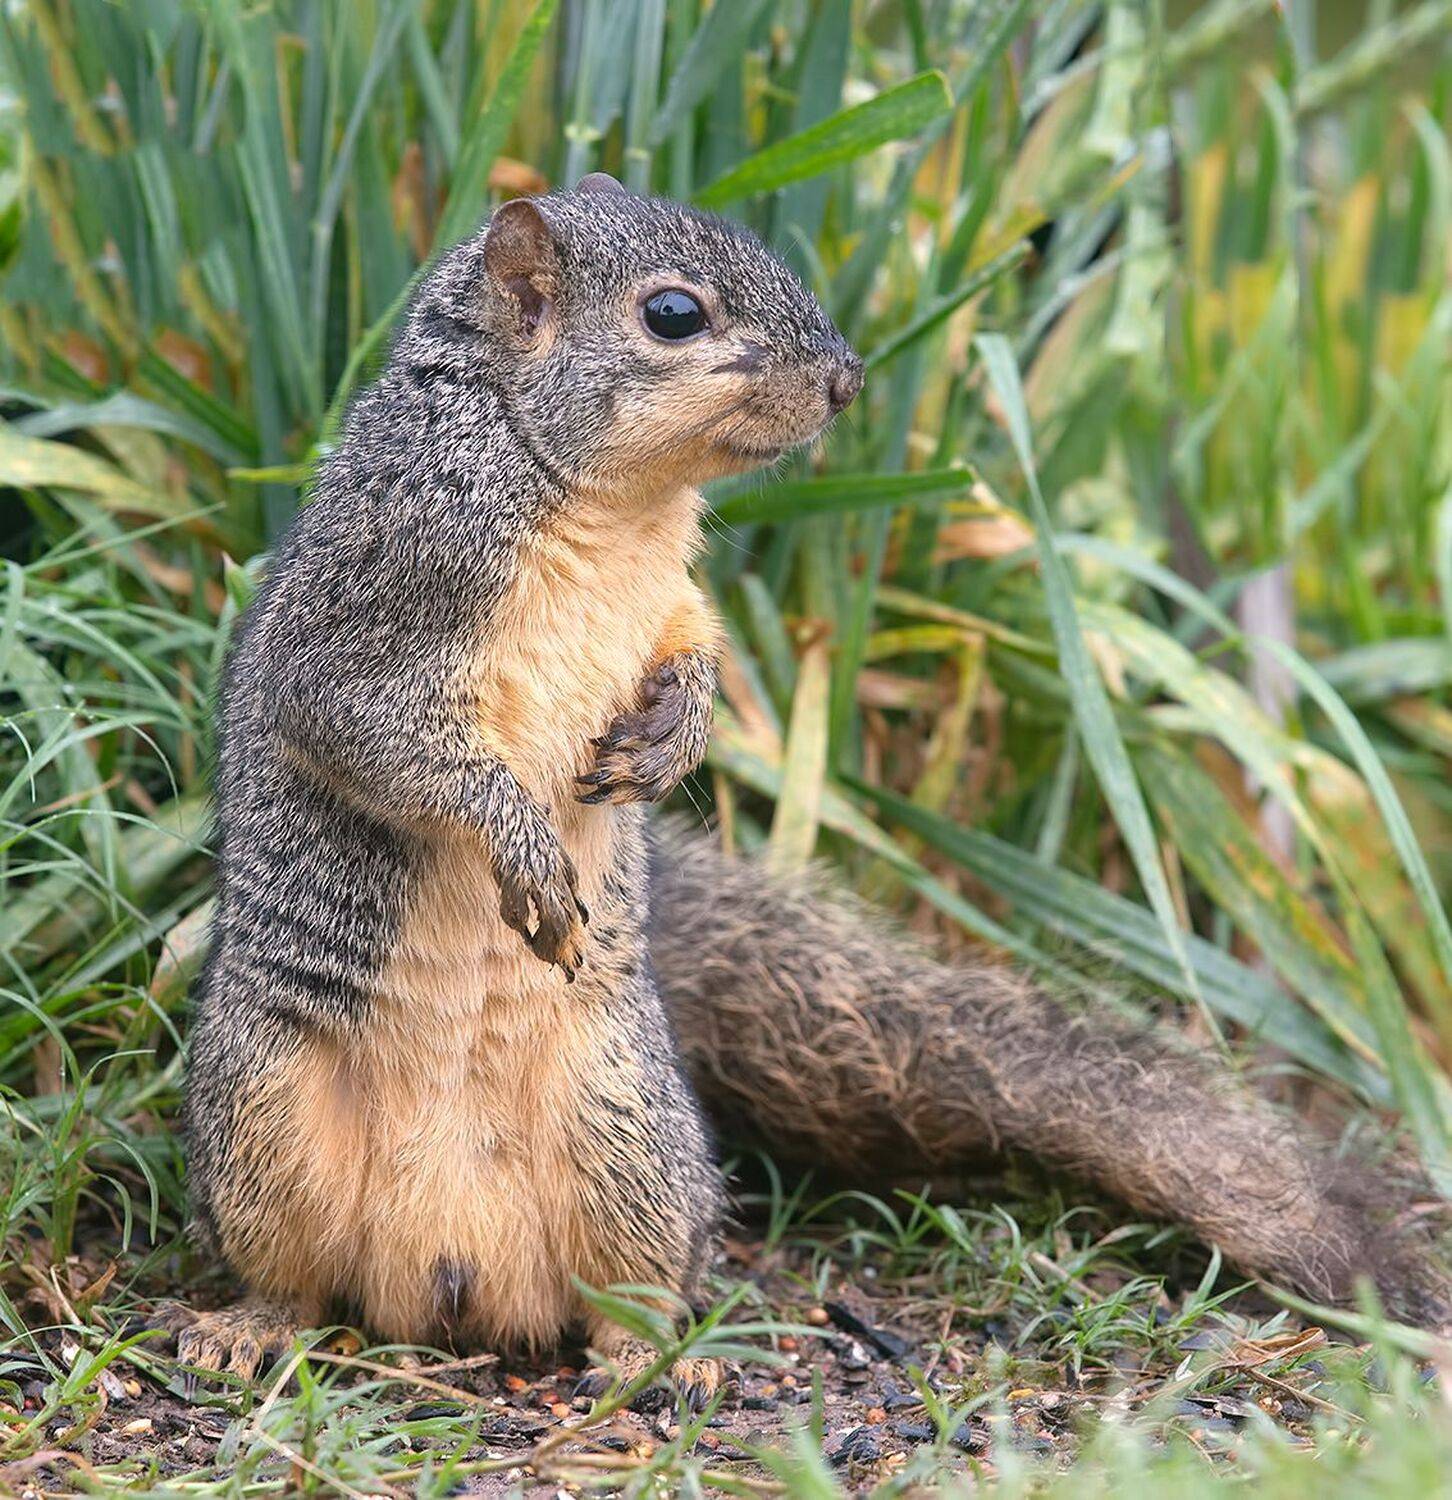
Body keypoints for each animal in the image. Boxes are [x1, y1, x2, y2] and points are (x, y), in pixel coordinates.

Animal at [173, 175, 1446, 1397]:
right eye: (672, 314)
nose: (845, 381)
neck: (600, 503)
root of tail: (444, 1278)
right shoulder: (374, 602)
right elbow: (375, 734)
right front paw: (523, 845)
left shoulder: (670, 598)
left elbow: (694, 651)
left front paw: (676, 735)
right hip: (263, 1114)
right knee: (294, 1279)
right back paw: (246, 1330)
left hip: (627, 1134)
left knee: (635, 1282)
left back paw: (658, 1358)